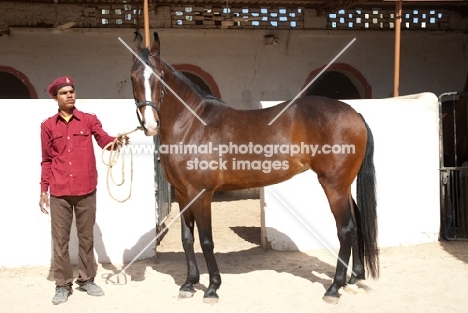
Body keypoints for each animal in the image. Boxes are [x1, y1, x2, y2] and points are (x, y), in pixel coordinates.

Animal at [130, 31, 378, 302]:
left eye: (159, 77)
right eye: (133, 77)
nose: (150, 125)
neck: (192, 126)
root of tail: (354, 113)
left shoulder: (202, 193)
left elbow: (206, 240)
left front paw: (212, 287)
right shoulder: (184, 194)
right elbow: (187, 238)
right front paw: (188, 284)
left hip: (334, 185)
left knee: (346, 229)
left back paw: (334, 287)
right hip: (344, 185)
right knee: (356, 223)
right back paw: (353, 279)